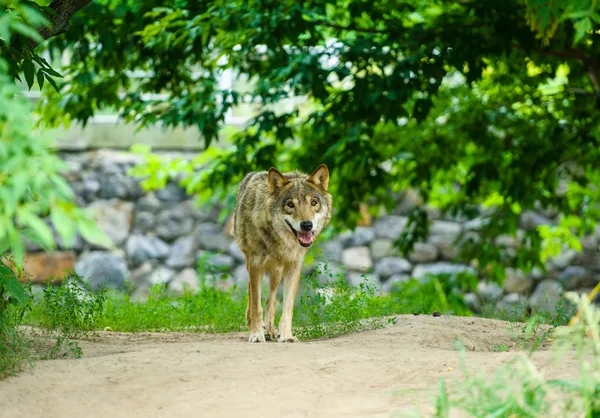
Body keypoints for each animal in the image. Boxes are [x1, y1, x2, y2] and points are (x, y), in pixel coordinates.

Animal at [232, 163, 332, 342]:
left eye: (313, 202)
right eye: (290, 204)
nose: (307, 225)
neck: (281, 241)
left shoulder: (294, 266)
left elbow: (287, 307)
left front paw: (286, 336)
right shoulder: (255, 264)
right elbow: (256, 304)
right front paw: (256, 334)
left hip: (277, 272)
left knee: (270, 300)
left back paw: (270, 330)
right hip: (253, 264)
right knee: (252, 293)